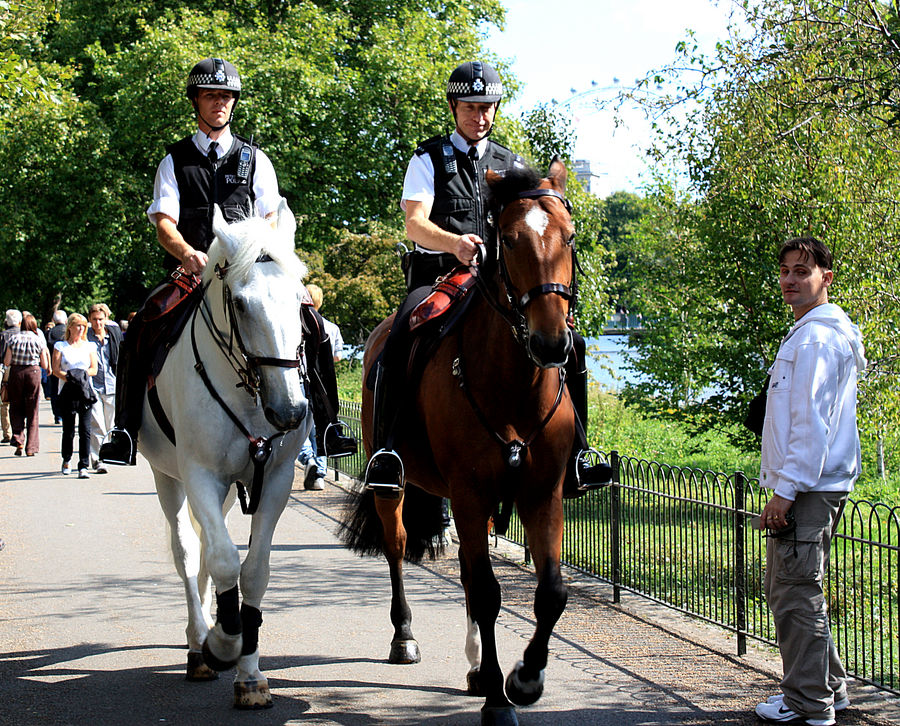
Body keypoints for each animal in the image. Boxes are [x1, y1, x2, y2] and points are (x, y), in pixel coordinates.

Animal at [139, 199, 312, 712]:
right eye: (240, 303)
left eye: (299, 301)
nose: (290, 410)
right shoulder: (199, 475)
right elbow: (221, 560)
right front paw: (221, 642)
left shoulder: (273, 480)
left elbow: (252, 572)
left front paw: (250, 674)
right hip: (167, 477)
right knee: (187, 550)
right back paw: (199, 642)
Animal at [344, 161, 576, 726]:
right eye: (509, 240)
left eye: (569, 236)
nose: (551, 343)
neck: (514, 386)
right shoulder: (470, 495)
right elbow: (490, 594)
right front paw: (499, 699)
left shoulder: (542, 493)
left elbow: (550, 593)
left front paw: (524, 677)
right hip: (394, 485)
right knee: (398, 546)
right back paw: (404, 637)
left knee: (469, 576)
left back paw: (475, 668)